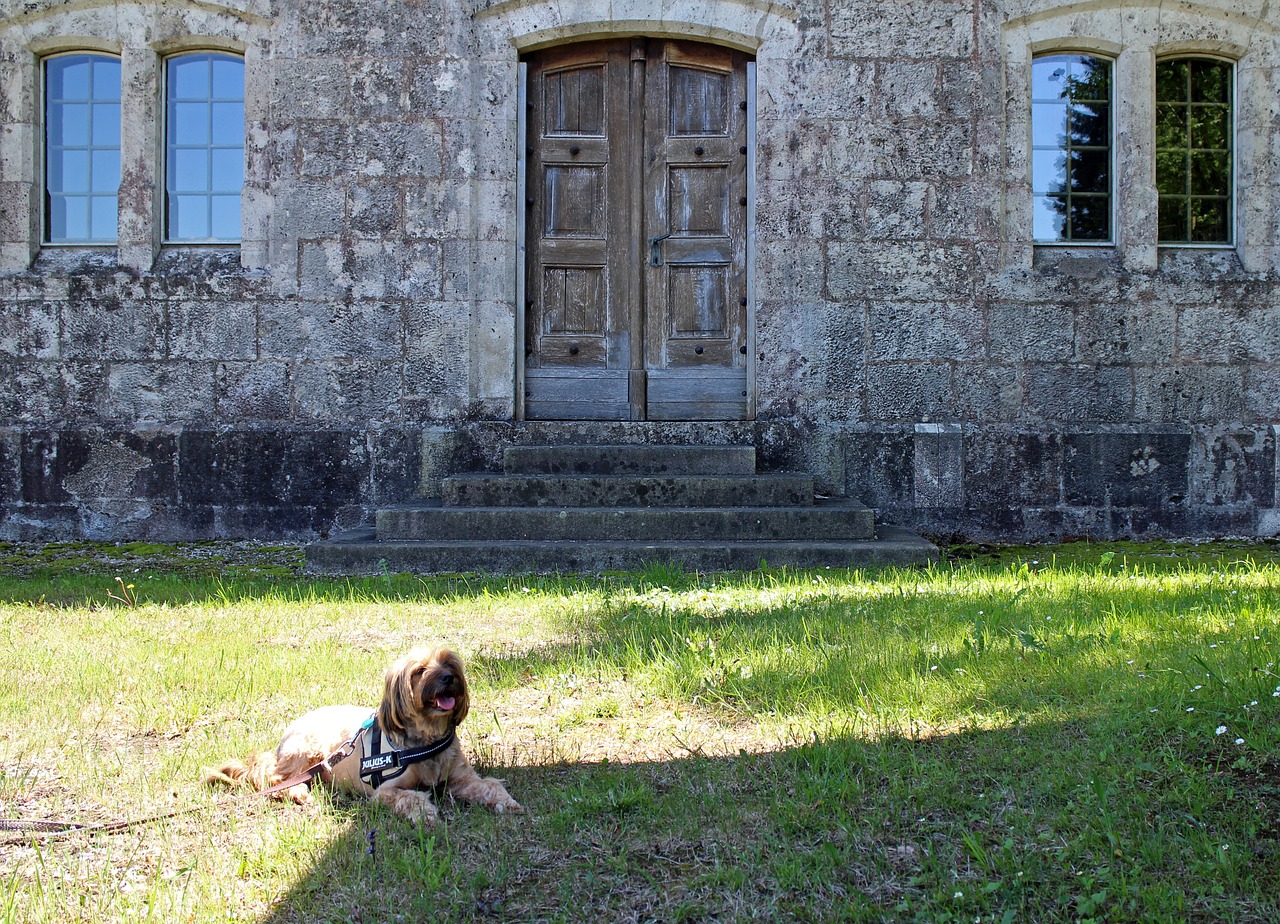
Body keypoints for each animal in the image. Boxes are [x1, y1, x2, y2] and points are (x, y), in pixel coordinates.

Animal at [202, 645, 522, 824]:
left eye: (449, 663)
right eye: (419, 671)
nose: (448, 678)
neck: (425, 741)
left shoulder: (462, 779)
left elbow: (489, 786)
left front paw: (507, 802)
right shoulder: (385, 791)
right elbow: (412, 798)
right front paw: (427, 815)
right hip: (309, 748)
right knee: (275, 778)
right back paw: (298, 792)